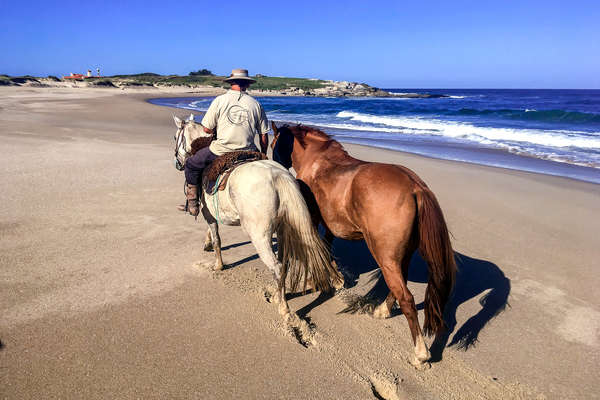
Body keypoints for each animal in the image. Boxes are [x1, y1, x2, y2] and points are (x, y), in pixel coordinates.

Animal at [173, 114, 342, 318]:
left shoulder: (208, 213)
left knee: (276, 266)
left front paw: (218, 265)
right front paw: (206, 245)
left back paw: (284, 308)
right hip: (282, 228)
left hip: (259, 235)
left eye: (175, 137)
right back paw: (280, 294)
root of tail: (278, 176)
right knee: (284, 262)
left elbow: (217, 239)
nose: (178, 164)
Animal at [272, 123, 454, 368]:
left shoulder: (314, 220)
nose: (274, 163)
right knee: (399, 286)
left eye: (273, 143)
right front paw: (336, 279)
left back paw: (420, 353)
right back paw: (383, 310)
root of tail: (415, 187)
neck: (317, 160)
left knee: (406, 297)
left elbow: (319, 249)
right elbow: (327, 247)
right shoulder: (330, 225)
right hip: (400, 256)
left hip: (385, 257)